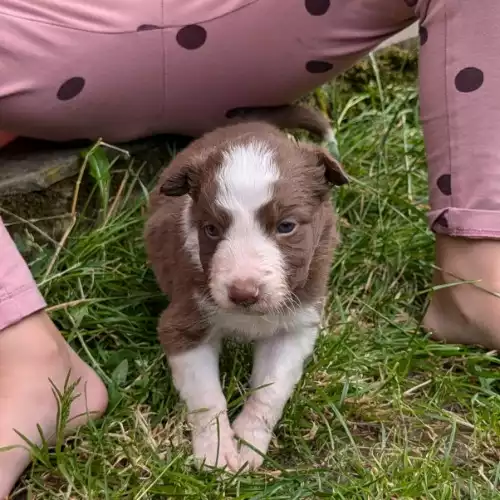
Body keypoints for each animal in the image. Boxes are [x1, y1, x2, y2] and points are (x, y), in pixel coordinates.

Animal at [145, 105, 348, 472]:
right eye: (211, 229)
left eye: (286, 226)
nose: (243, 293)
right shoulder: (184, 323)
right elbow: (207, 397)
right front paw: (217, 452)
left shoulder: (295, 325)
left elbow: (270, 391)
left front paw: (248, 444)